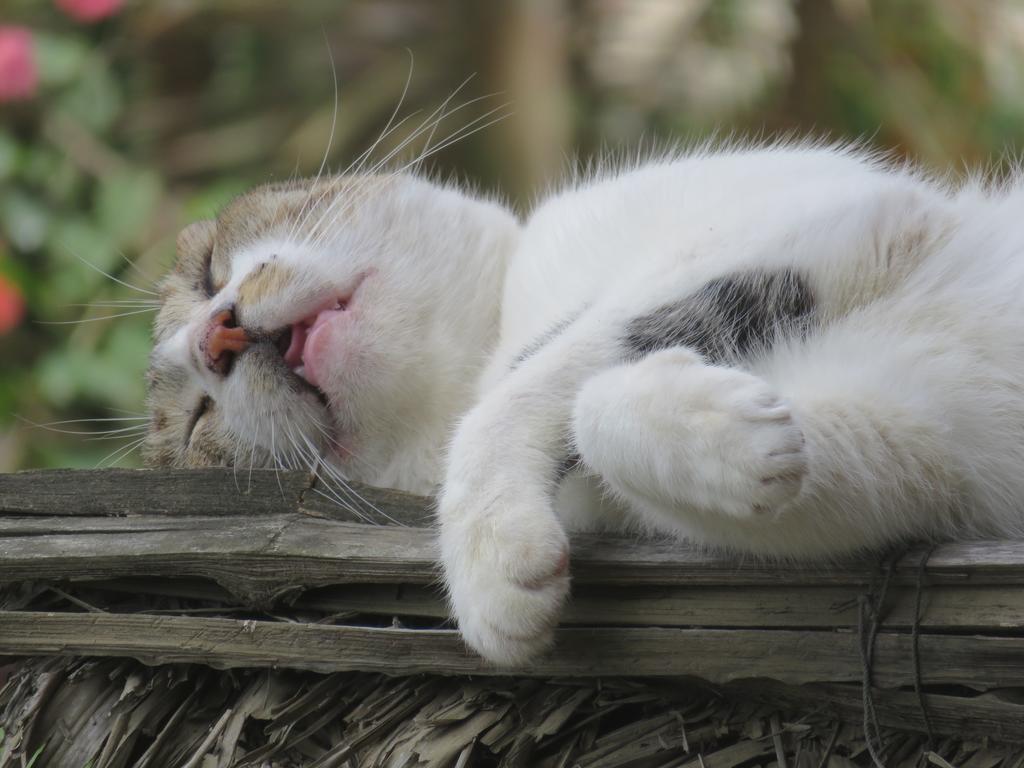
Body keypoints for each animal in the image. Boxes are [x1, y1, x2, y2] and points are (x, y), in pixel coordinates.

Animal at [146, 143, 1024, 667]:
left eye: (208, 267)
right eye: (197, 424)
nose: (213, 339)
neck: (491, 341)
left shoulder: (835, 215)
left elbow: (561, 369)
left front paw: (489, 553)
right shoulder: (935, 444)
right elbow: (820, 479)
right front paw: (741, 440)